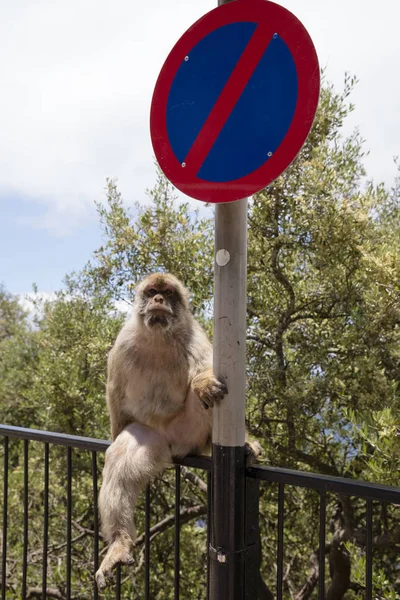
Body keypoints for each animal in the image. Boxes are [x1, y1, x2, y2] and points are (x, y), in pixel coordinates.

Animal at [95, 274, 260, 592]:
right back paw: (120, 542)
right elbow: (115, 392)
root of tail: (173, 446)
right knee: (121, 460)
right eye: (152, 292)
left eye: (168, 293)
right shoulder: (123, 343)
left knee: (207, 399)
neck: (158, 337)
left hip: (192, 435)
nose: (159, 300)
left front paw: (204, 383)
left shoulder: (193, 338)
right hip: (152, 437)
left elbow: (206, 370)